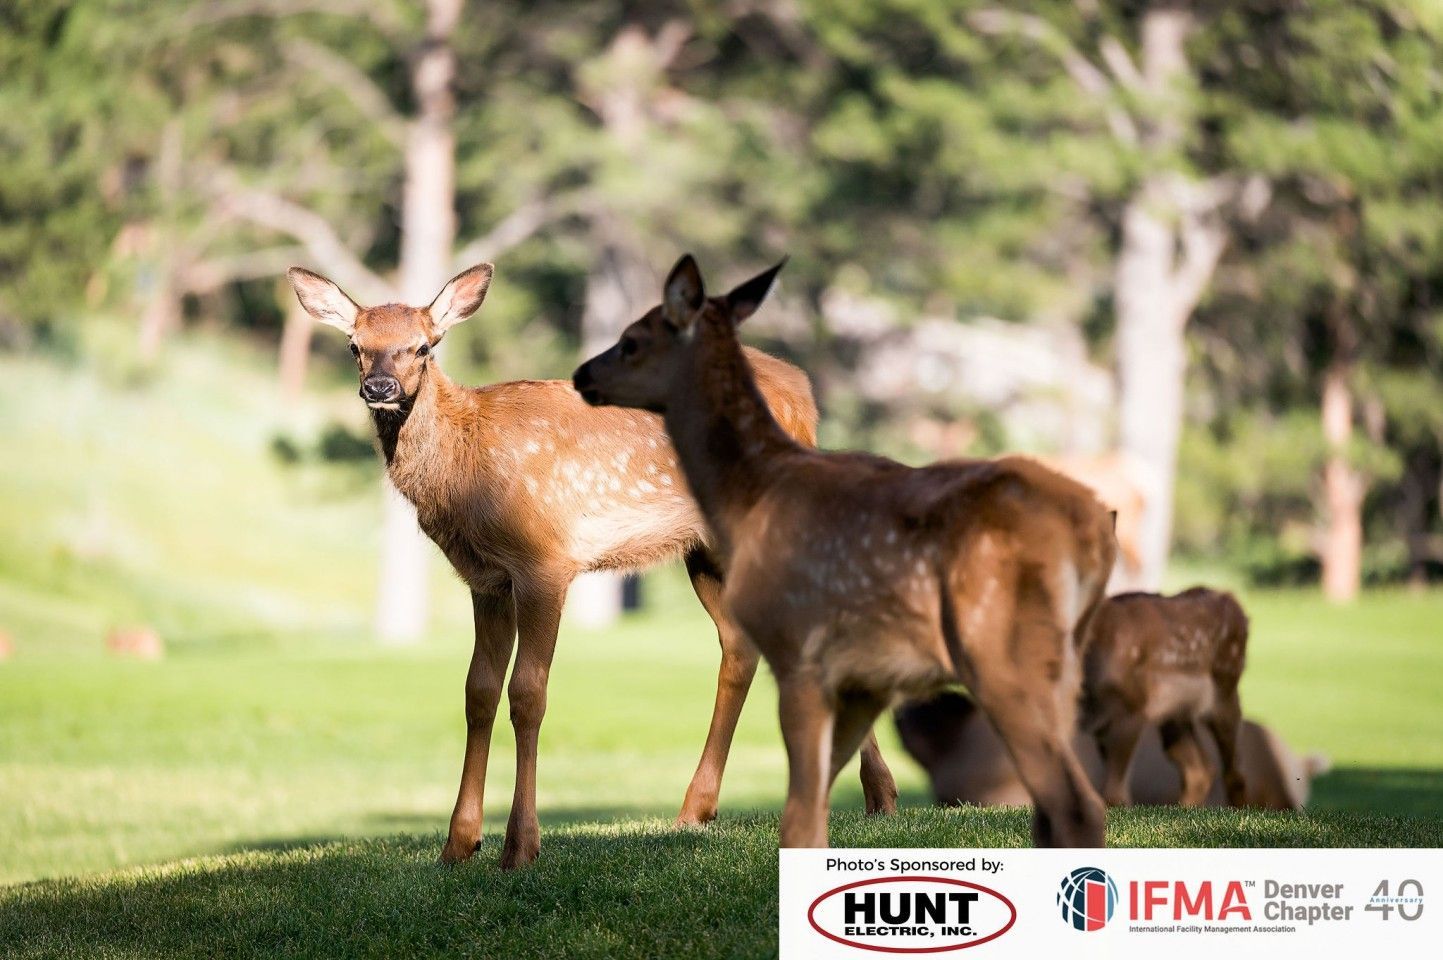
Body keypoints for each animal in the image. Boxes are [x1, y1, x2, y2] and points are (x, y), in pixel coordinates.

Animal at [285, 263, 898, 869]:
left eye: (423, 347)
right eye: (355, 345)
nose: (379, 388)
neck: (467, 470)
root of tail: (804, 389)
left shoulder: (544, 558)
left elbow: (528, 694)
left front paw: (520, 846)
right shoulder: (486, 578)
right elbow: (478, 692)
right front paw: (458, 845)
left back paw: (866, 796)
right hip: (704, 550)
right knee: (746, 646)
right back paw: (715, 809)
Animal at [1077, 587, 1250, 808]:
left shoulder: (1131, 709)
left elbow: (1114, 795)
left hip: (1226, 689)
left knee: (1234, 772)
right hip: (1176, 715)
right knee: (1200, 770)